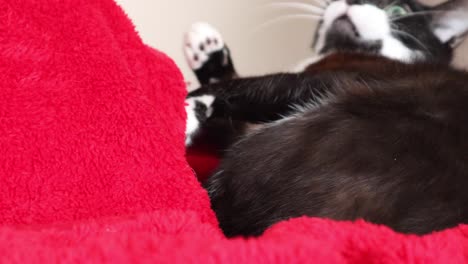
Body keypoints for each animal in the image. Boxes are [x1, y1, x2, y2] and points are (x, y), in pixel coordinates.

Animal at [182, 0, 468, 237]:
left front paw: (188, 104)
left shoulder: (338, 76)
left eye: (399, 9)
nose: (353, 1)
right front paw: (206, 50)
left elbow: (252, 87)